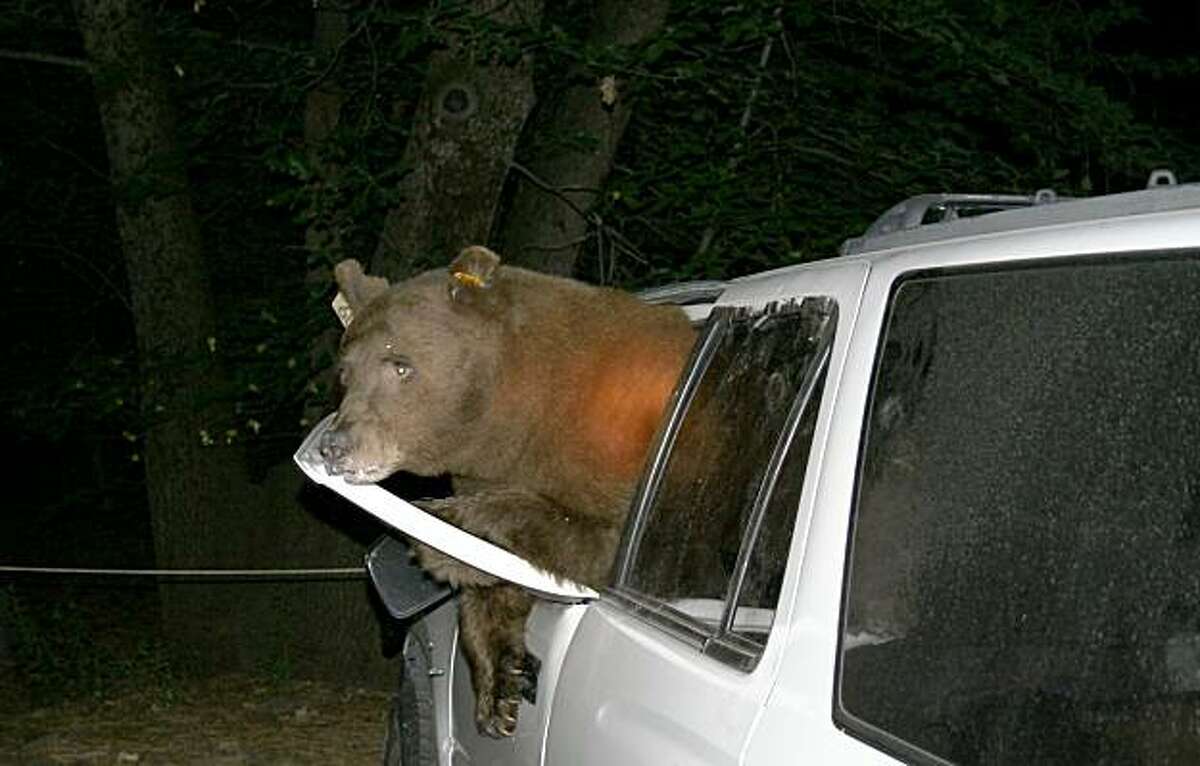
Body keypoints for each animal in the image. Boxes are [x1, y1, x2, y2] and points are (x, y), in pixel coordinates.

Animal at [319, 247, 700, 739]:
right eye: (344, 374)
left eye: (400, 365)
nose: (335, 446)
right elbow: (498, 586)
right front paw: (498, 686)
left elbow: (608, 541)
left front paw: (443, 532)